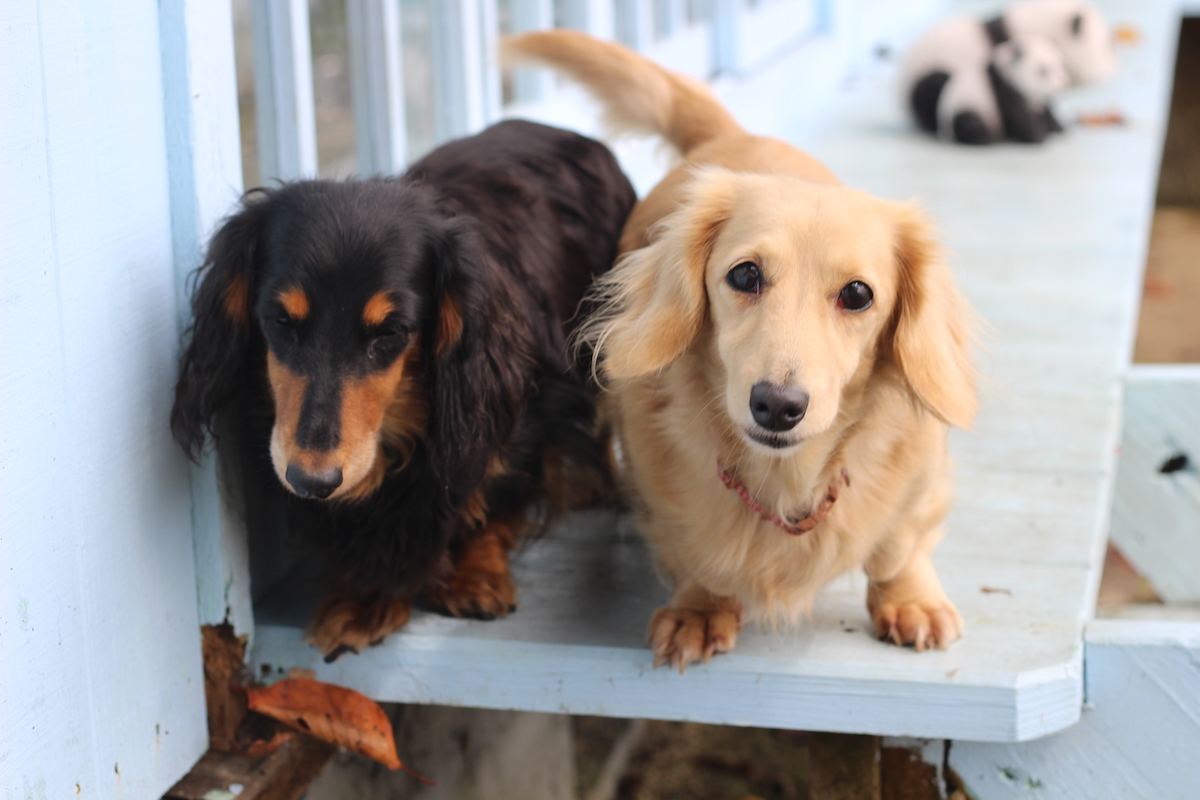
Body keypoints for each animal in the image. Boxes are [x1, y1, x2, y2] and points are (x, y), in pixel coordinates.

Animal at [174, 118, 638, 657]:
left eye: (391, 332)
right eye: (280, 320)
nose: (311, 481)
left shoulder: (524, 413)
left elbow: (496, 490)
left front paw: (474, 573)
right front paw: (366, 594)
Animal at [506, 32, 974, 671]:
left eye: (858, 293)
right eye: (745, 274)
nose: (777, 405)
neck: (785, 479)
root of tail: (728, 135)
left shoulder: (918, 479)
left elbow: (898, 546)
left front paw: (909, 598)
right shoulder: (661, 494)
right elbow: (692, 554)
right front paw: (701, 608)